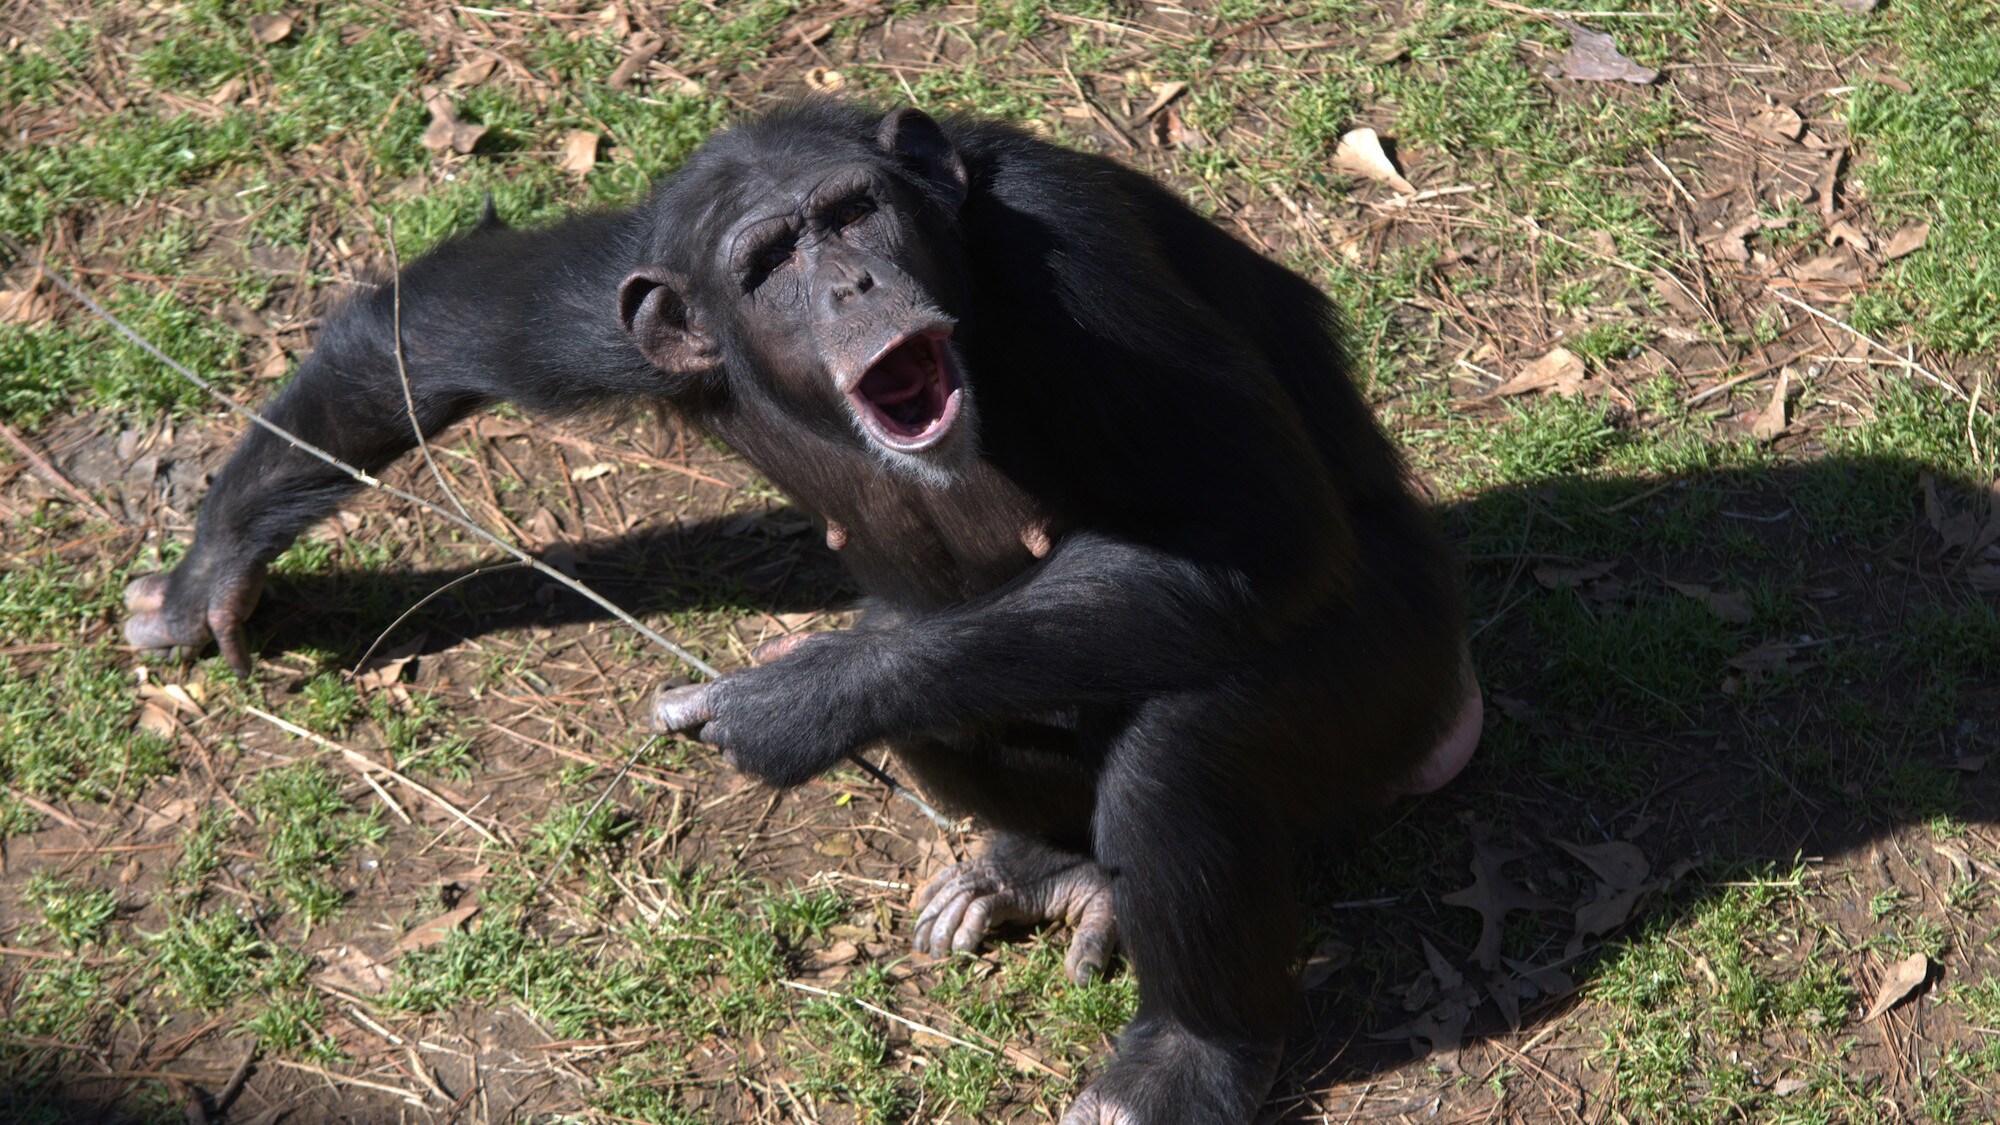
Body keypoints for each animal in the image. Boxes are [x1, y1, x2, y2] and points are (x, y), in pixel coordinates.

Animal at [117, 105, 1480, 1120]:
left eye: (854, 214)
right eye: (770, 261)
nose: (853, 283)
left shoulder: (1085, 263)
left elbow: (1252, 528)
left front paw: (791, 699)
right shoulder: (624, 302)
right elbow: (426, 335)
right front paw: (208, 573)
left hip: (1402, 685)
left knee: (1184, 758)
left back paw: (1181, 1061)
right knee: (939, 689)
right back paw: (1050, 869)